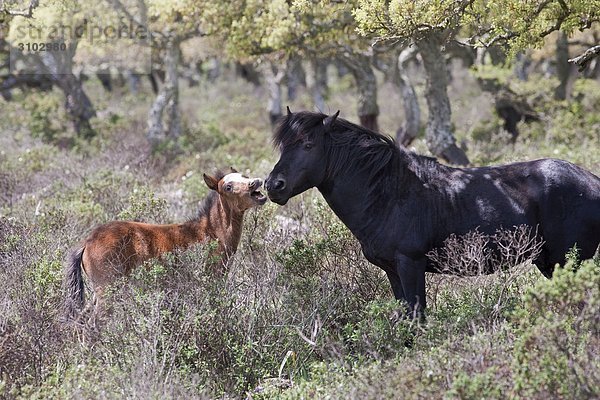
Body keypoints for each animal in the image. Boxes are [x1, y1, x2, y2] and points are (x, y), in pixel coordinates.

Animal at [268, 108, 600, 316]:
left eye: (308, 144)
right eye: (283, 146)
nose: (273, 185)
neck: (387, 194)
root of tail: (592, 181)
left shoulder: (411, 265)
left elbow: (418, 317)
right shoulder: (393, 270)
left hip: (569, 261)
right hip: (549, 262)